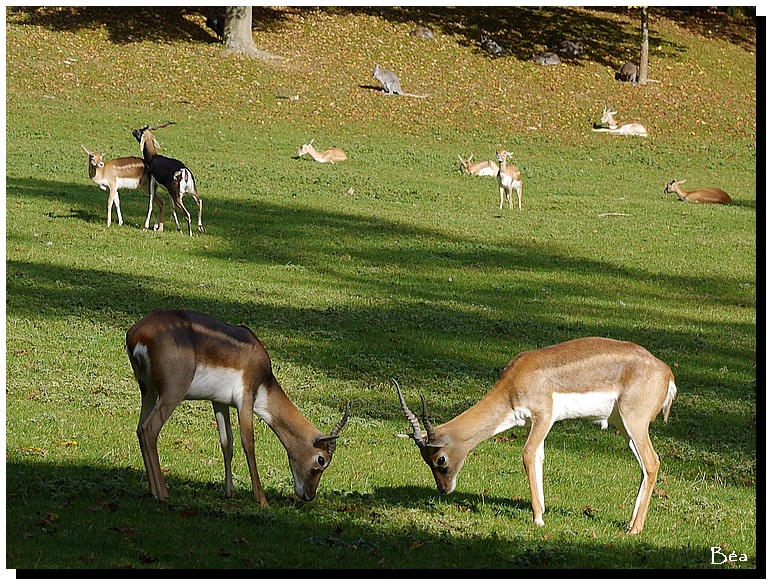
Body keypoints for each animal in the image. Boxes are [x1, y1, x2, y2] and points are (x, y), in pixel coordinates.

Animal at [126, 308, 350, 504]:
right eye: (321, 460)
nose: (309, 495)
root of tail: (138, 333)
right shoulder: (246, 399)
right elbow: (248, 442)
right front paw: (261, 499)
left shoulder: (219, 402)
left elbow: (227, 442)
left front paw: (230, 492)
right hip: (173, 392)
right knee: (150, 428)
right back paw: (162, 493)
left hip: (148, 391)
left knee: (139, 429)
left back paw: (152, 490)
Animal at [398, 338, 676, 532]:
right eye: (426, 460)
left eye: (440, 460)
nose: (444, 490)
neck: (514, 381)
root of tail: (667, 373)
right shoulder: (535, 423)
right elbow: (539, 458)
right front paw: (541, 511)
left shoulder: (544, 417)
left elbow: (528, 455)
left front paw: (538, 519)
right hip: (624, 426)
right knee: (644, 467)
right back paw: (630, 524)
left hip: (634, 422)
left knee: (652, 462)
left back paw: (634, 530)